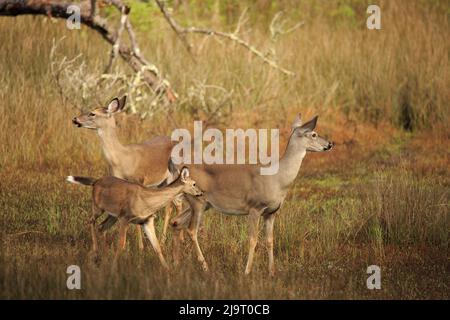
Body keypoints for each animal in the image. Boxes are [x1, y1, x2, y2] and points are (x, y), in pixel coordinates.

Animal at [66, 168, 201, 268]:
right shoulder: (125, 218)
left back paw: (103, 257)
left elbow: (157, 247)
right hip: (98, 208)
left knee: (101, 227)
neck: (147, 201)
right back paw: (94, 253)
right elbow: (121, 245)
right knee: (90, 221)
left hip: (112, 216)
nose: (200, 193)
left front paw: (168, 271)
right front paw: (113, 269)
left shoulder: (147, 221)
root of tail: (96, 181)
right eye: (194, 183)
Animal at [72, 96, 179, 249]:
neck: (121, 158)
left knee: (175, 205)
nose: (75, 119)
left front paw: (140, 247)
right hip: (161, 183)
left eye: (92, 113)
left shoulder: (139, 180)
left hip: (172, 176)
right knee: (172, 205)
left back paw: (166, 240)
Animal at [174, 115, 332, 276]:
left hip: (201, 204)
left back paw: (176, 264)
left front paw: (272, 272)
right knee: (191, 230)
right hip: (198, 202)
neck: (278, 179)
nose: (330, 144)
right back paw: (205, 266)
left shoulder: (271, 212)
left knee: (177, 222)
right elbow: (253, 240)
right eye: (313, 134)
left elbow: (270, 241)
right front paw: (247, 271)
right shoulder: (255, 207)